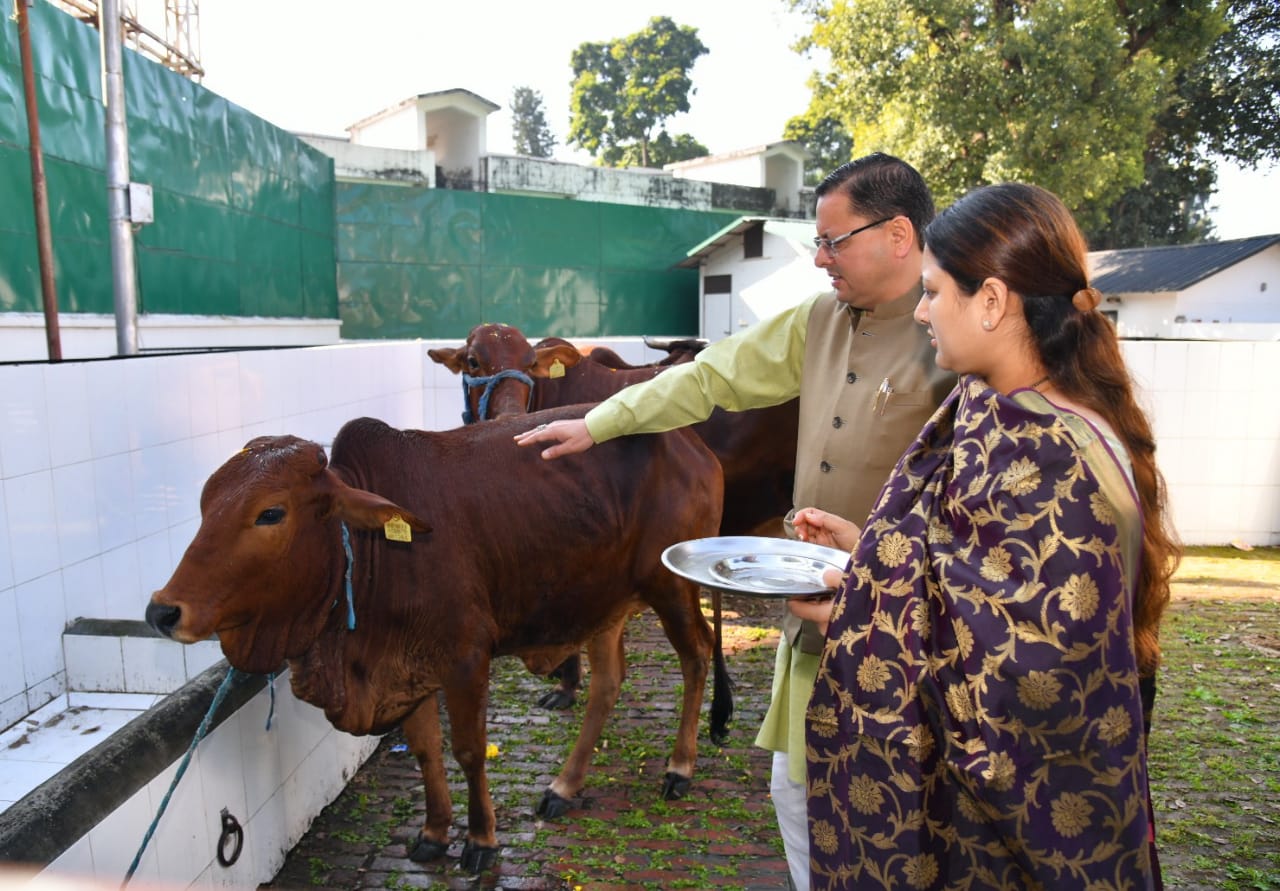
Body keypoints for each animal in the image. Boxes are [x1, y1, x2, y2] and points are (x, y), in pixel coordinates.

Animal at [144, 407, 727, 875]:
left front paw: (481, 840)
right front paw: (433, 833)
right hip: (602, 602)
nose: (163, 610)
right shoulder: (408, 667)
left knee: (697, 655)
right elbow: (426, 749)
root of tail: (691, 443)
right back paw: (564, 786)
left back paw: (679, 768)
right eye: (204, 505)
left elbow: (467, 750)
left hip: (671, 586)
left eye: (270, 512)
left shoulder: (466, 659)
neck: (373, 556)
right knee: (608, 683)